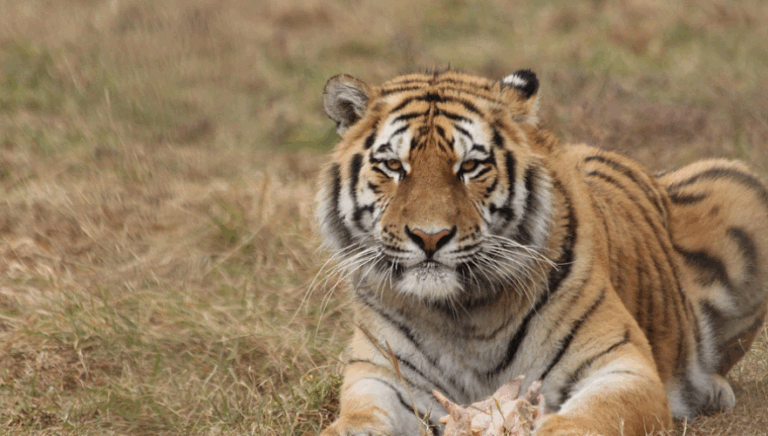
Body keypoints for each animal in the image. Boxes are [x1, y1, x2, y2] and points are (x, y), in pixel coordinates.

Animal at [315, 68, 768, 436]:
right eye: (393, 166)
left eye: (470, 166)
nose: (430, 236)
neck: (460, 314)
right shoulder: (379, 378)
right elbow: (354, 422)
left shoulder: (621, 365)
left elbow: (587, 417)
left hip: (742, 188)